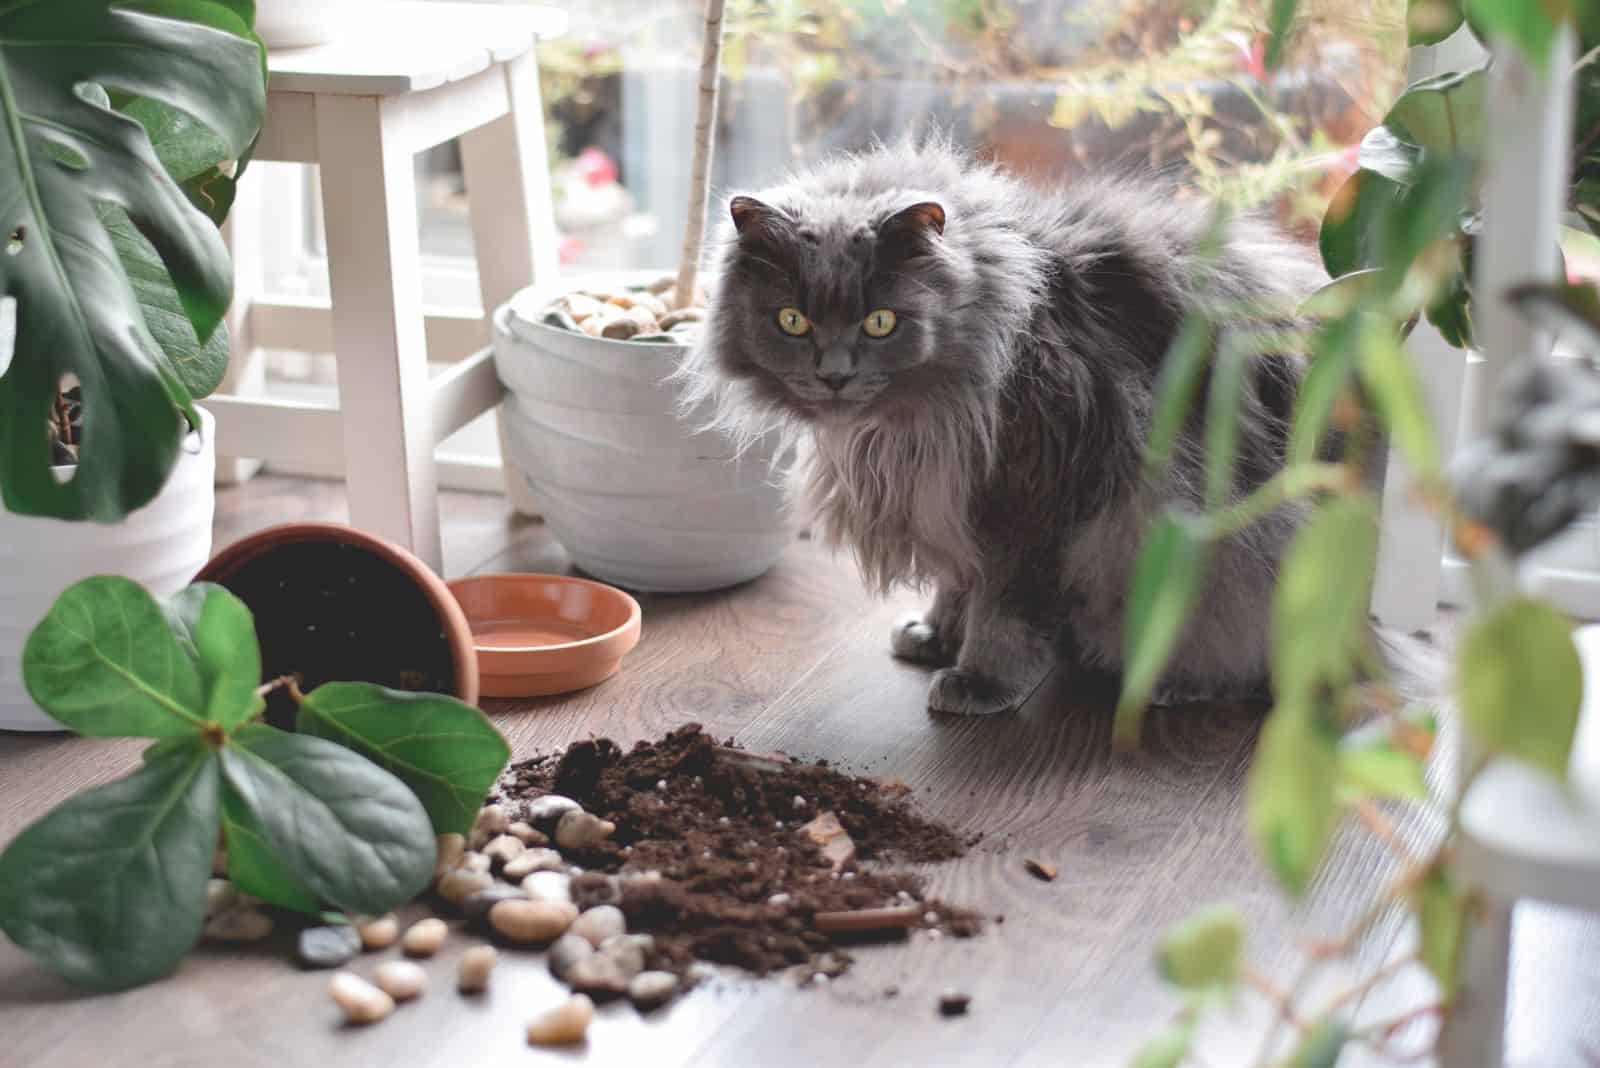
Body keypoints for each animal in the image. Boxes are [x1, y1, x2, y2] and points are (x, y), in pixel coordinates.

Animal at [681, 137, 1331, 713]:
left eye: (880, 322)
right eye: (792, 320)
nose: (835, 374)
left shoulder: (1031, 503)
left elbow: (1003, 614)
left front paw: (980, 680)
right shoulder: (947, 496)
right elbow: (956, 582)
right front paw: (936, 636)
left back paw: (1175, 686)